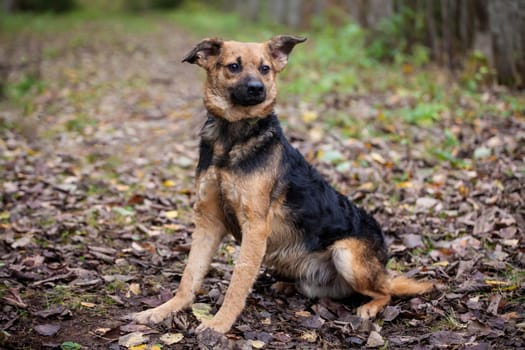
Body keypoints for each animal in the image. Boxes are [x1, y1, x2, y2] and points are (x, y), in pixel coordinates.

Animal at [128, 35, 434, 334]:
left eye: (265, 68)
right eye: (234, 66)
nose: (256, 89)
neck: (232, 137)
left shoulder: (254, 227)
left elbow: (238, 282)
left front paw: (219, 324)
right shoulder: (207, 220)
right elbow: (189, 275)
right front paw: (164, 310)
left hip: (346, 254)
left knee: (385, 291)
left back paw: (370, 307)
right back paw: (286, 286)